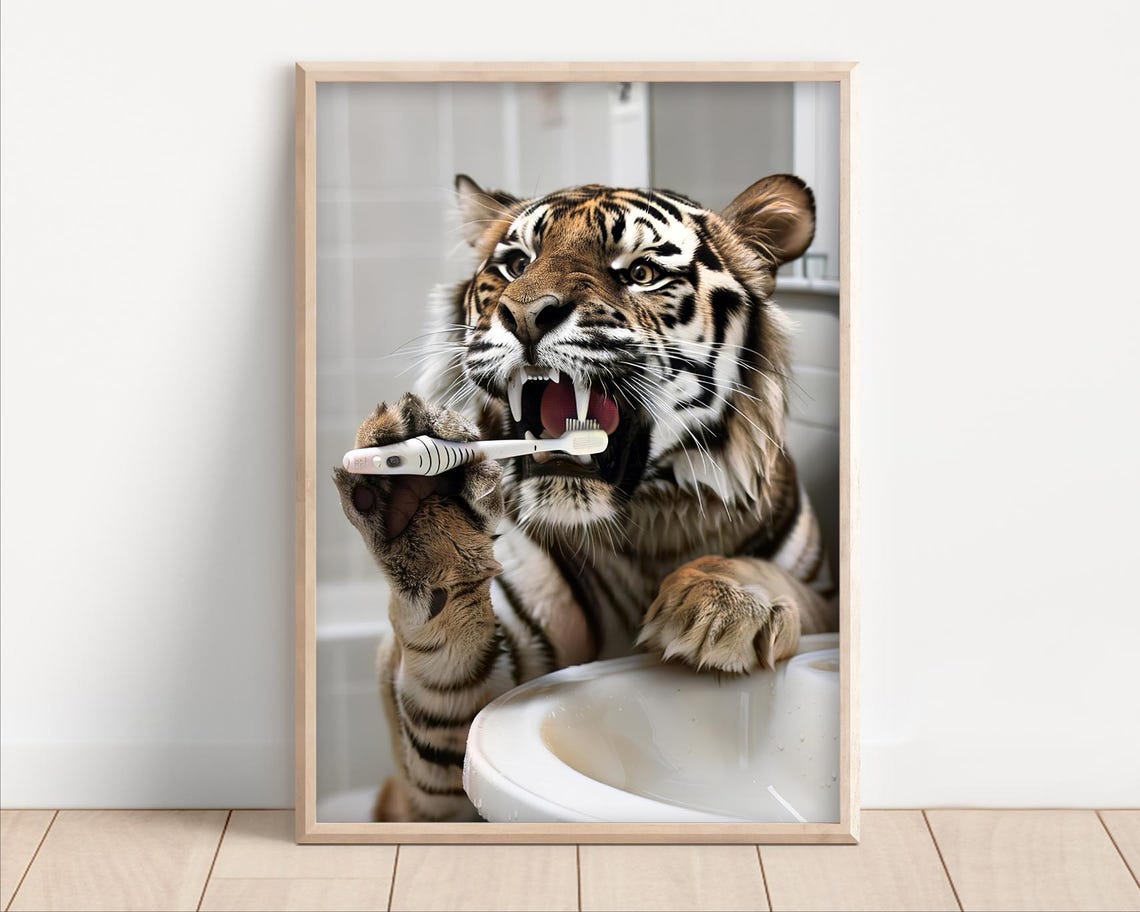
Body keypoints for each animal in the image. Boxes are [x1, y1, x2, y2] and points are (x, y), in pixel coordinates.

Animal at [333, 173, 838, 822]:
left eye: (639, 272)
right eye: (516, 265)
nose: (525, 315)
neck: (651, 527)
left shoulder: (828, 601)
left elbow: (781, 586)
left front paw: (723, 603)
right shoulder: (446, 781)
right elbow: (447, 675)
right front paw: (424, 507)